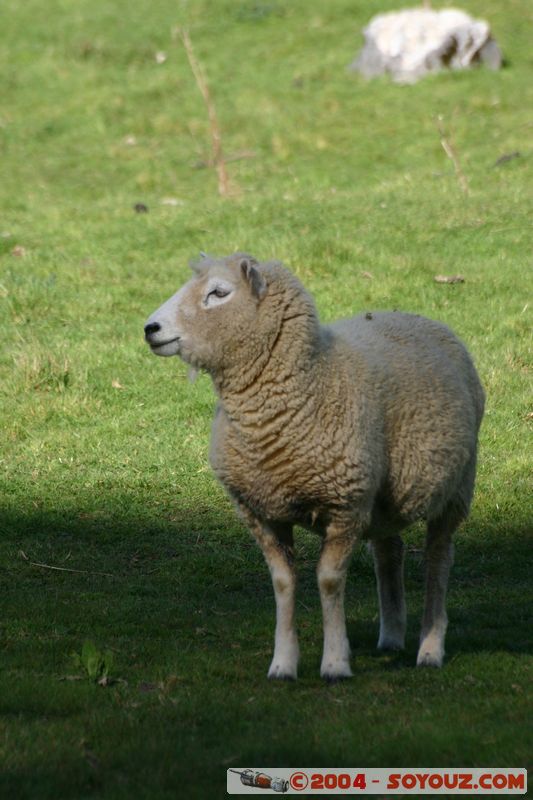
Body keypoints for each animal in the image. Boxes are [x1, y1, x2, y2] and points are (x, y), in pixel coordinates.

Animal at [143, 253, 484, 680]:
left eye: (219, 293)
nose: (150, 329)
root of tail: (417, 316)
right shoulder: (261, 512)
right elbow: (283, 583)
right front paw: (283, 664)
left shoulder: (345, 505)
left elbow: (329, 582)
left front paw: (335, 662)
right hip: (383, 499)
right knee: (389, 552)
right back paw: (391, 636)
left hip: (455, 489)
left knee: (438, 561)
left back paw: (430, 648)